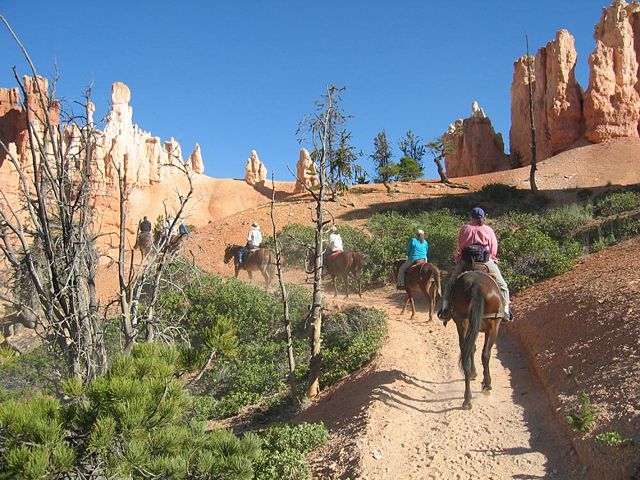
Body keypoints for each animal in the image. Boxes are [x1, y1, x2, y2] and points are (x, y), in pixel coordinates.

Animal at [444, 266, 504, 408]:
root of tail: (477, 286)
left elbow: (471, 348)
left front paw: (473, 372)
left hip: (463, 322)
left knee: (467, 352)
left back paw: (467, 399)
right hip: (493, 325)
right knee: (485, 354)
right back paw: (486, 385)